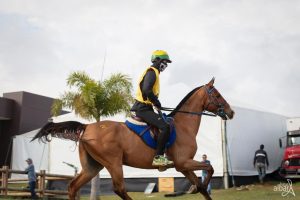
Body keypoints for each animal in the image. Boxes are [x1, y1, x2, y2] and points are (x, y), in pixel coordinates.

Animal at [32, 77, 234, 200]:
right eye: (217, 95)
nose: (231, 112)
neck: (184, 125)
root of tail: (88, 126)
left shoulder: (183, 167)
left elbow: (201, 185)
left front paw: (197, 188)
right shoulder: (183, 162)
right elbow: (209, 168)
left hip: (92, 167)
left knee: (73, 186)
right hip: (113, 162)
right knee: (119, 188)